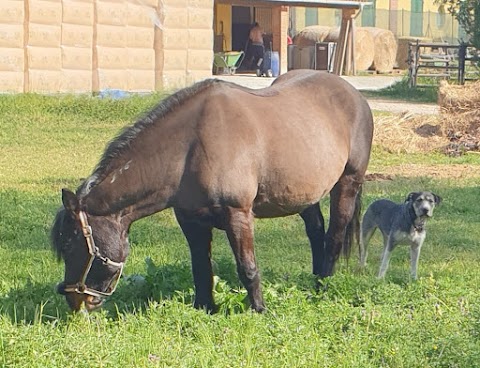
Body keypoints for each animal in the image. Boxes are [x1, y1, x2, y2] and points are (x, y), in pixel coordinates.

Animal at [52, 69, 376, 314]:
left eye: (71, 244)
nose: (76, 300)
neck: (192, 145)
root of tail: (353, 94)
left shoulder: (238, 215)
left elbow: (247, 267)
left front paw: (259, 310)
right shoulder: (190, 220)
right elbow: (201, 267)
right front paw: (205, 307)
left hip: (347, 184)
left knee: (334, 237)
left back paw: (323, 286)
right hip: (303, 195)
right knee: (316, 232)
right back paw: (315, 279)